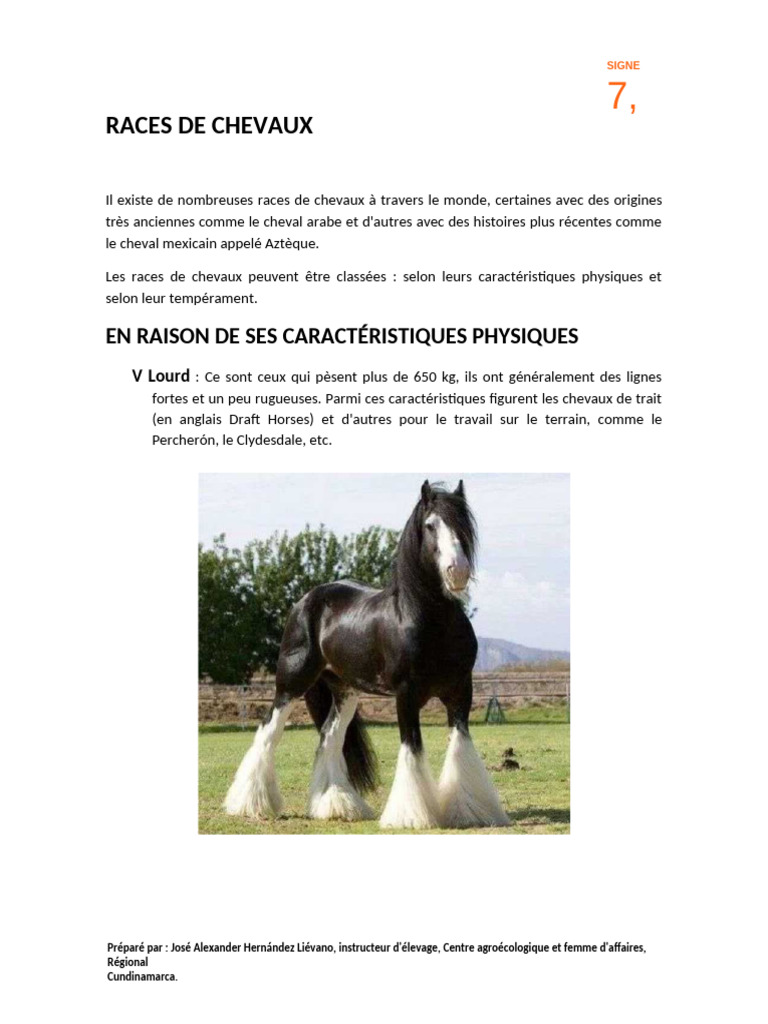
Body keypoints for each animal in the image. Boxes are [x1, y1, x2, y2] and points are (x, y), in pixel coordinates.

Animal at [224, 480, 510, 829]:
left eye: (463, 524)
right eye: (430, 525)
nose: (457, 571)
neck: (425, 620)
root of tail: (306, 600)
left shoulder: (460, 691)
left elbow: (460, 747)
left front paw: (472, 811)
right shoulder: (406, 694)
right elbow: (411, 749)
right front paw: (410, 816)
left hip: (345, 691)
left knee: (329, 739)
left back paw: (337, 805)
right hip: (291, 684)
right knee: (268, 732)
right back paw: (249, 804)